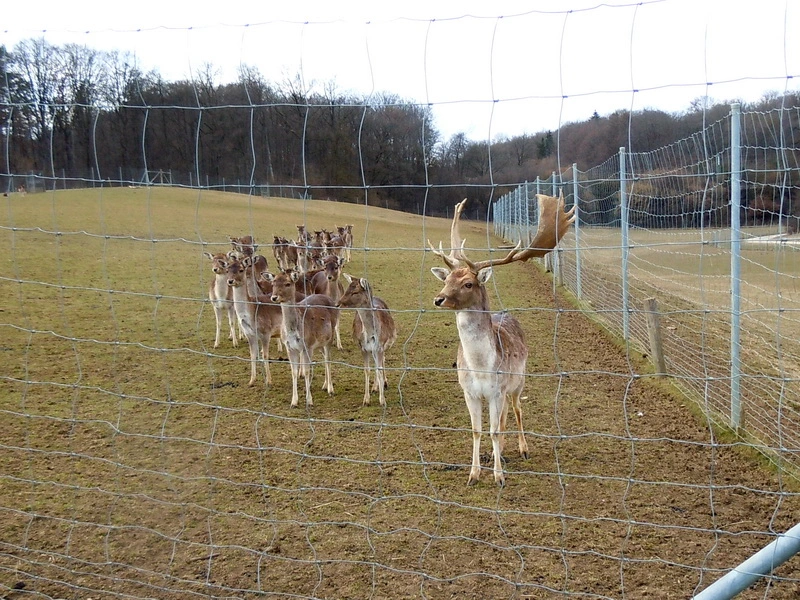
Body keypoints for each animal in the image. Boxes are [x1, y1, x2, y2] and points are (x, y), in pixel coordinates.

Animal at [266, 269, 338, 407]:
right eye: (273, 283)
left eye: (288, 283)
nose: (274, 297)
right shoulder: (289, 347)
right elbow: (294, 372)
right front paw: (294, 402)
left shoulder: (307, 346)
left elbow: (306, 371)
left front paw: (309, 401)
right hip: (320, 343)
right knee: (324, 358)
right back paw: (324, 385)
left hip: (330, 337)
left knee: (328, 359)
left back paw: (331, 389)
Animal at [337, 274, 397, 406]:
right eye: (347, 288)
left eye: (355, 292)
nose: (337, 304)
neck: (370, 335)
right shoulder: (363, 348)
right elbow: (367, 370)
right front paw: (366, 400)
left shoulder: (380, 347)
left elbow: (379, 369)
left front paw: (382, 401)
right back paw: (375, 387)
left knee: (382, 362)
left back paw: (384, 383)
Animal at [429, 193, 575, 486]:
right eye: (447, 279)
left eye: (468, 284)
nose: (439, 299)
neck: (481, 368)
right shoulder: (469, 391)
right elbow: (477, 431)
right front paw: (473, 474)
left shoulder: (497, 389)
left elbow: (494, 431)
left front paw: (499, 477)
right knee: (506, 414)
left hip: (519, 381)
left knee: (516, 410)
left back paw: (522, 448)